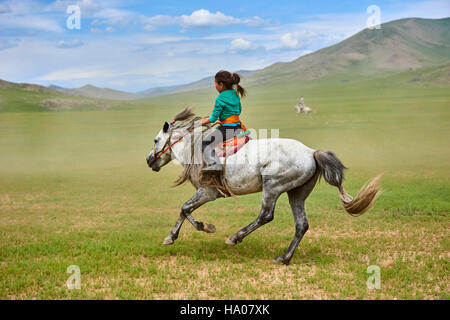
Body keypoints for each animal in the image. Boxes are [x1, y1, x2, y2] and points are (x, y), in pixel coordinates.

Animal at [147, 107, 380, 264]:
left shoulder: (208, 192)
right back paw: (284, 258)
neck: (193, 148)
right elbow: (184, 210)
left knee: (266, 215)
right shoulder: (207, 194)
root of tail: (311, 152)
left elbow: (185, 208)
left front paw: (204, 228)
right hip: (296, 193)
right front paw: (171, 237)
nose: (149, 160)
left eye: (156, 140)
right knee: (301, 225)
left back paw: (235, 237)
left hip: (273, 186)